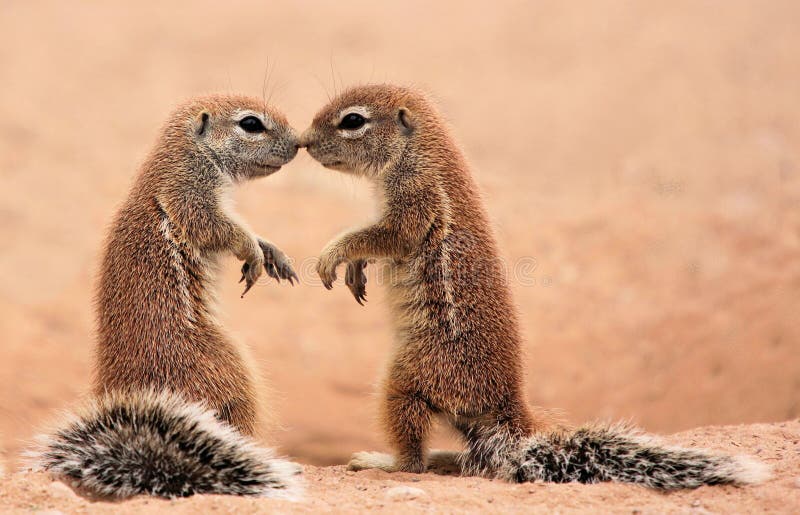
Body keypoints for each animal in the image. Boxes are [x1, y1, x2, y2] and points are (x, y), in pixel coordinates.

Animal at [28, 95, 302, 499]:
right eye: (251, 124)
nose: (299, 143)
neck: (185, 154)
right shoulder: (190, 196)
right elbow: (224, 230)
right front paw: (253, 251)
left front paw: (272, 253)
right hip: (234, 368)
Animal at [301, 84, 769, 490]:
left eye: (353, 120)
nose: (304, 142)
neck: (417, 151)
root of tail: (508, 410)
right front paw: (353, 268)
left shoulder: (416, 199)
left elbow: (385, 234)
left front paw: (333, 254)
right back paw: (446, 459)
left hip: (405, 378)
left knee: (414, 458)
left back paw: (381, 460)